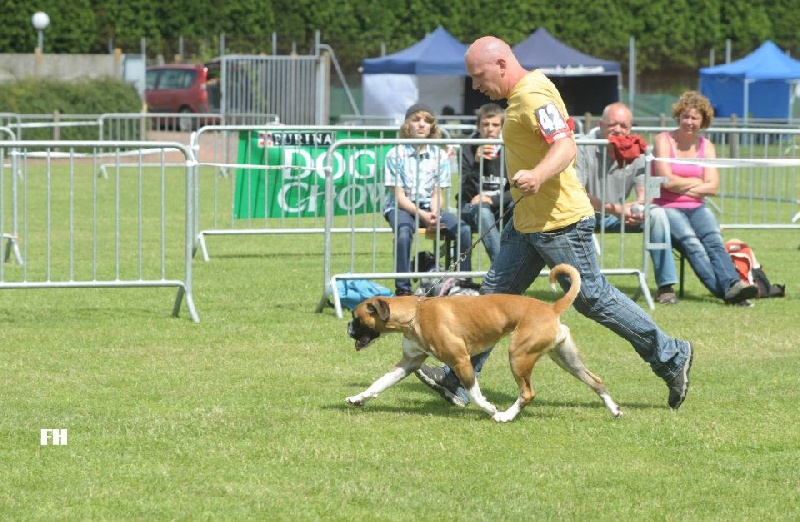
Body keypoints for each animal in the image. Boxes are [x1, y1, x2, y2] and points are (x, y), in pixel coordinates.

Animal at [346, 262, 620, 420]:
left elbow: (475, 393)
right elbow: (379, 383)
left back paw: (505, 416)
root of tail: (551, 308)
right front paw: (358, 398)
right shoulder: (407, 364)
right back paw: (614, 409)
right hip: (566, 359)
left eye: (356, 318)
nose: (347, 328)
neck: (416, 313)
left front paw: (490, 409)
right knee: (596, 382)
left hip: (518, 356)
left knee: (527, 393)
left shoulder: (461, 361)